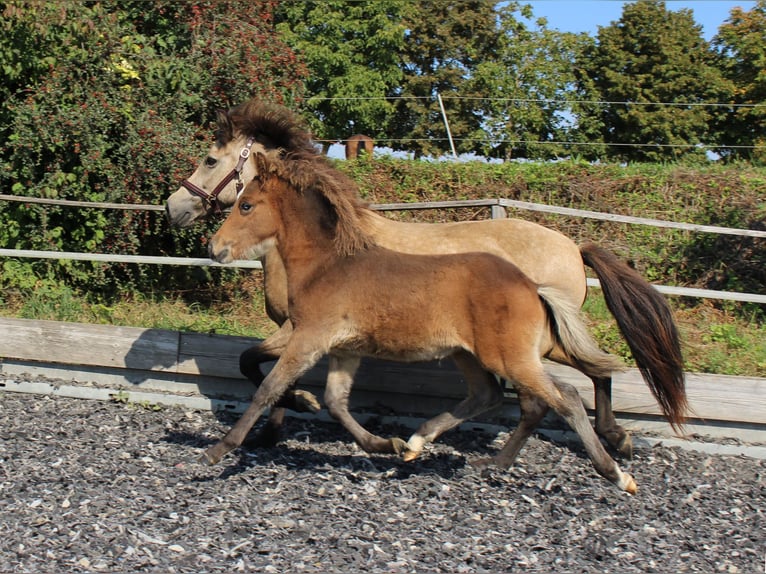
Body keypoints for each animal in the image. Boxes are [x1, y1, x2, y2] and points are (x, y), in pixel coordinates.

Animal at [165, 99, 686, 457]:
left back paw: (611, 439)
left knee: (577, 380)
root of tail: (573, 247)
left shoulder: (299, 329)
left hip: (533, 343)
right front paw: (282, 424)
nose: (173, 208)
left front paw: (294, 409)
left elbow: (252, 366)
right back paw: (610, 438)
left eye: (210, 160)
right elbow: (262, 370)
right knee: (590, 372)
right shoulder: (310, 334)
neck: (321, 248)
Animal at [205, 150, 644, 494]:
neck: (327, 265)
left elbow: (268, 388)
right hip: (472, 354)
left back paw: (617, 474)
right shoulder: (344, 349)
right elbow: (335, 402)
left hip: (510, 358)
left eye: (246, 205)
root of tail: (532, 285)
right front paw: (387, 445)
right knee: (491, 395)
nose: (214, 247)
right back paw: (430, 446)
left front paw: (219, 449)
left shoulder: (308, 338)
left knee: (562, 397)